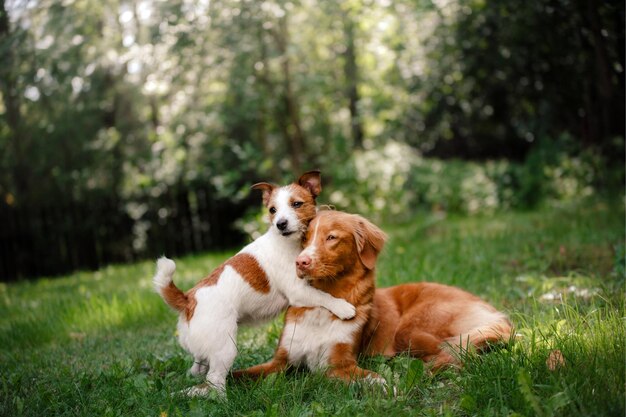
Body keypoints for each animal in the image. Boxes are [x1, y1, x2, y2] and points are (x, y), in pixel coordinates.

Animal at [153, 171, 354, 394]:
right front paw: (343, 307)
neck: (287, 243)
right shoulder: (297, 291)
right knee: (214, 380)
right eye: (272, 210)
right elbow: (323, 296)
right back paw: (222, 399)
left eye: (297, 204)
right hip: (225, 348)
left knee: (198, 365)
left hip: (204, 346)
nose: (280, 224)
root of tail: (188, 300)